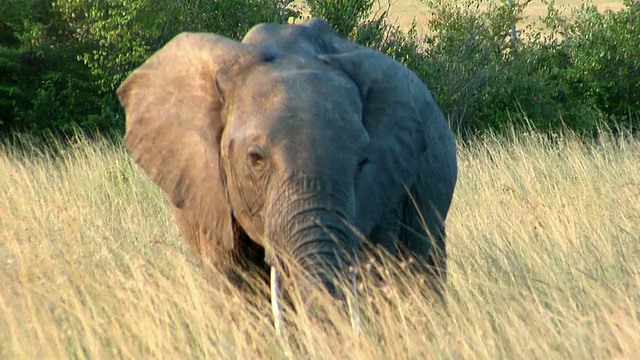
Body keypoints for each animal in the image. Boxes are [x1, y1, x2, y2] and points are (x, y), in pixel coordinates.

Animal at [117, 19, 458, 312]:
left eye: (362, 163)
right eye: (255, 159)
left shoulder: (386, 189)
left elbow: (376, 274)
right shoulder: (209, 190)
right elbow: (236, 284)